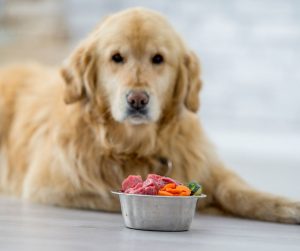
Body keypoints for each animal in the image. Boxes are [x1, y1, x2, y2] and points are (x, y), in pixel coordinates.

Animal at [0, 7, 300, 224]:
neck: (136, 145)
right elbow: (111, 195)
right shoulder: (51, 187)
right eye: (116, 57)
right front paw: (212, 206)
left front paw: (287, 206)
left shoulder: (205, 163)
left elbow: (238, 191)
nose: (137, 100)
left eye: (158, 59)